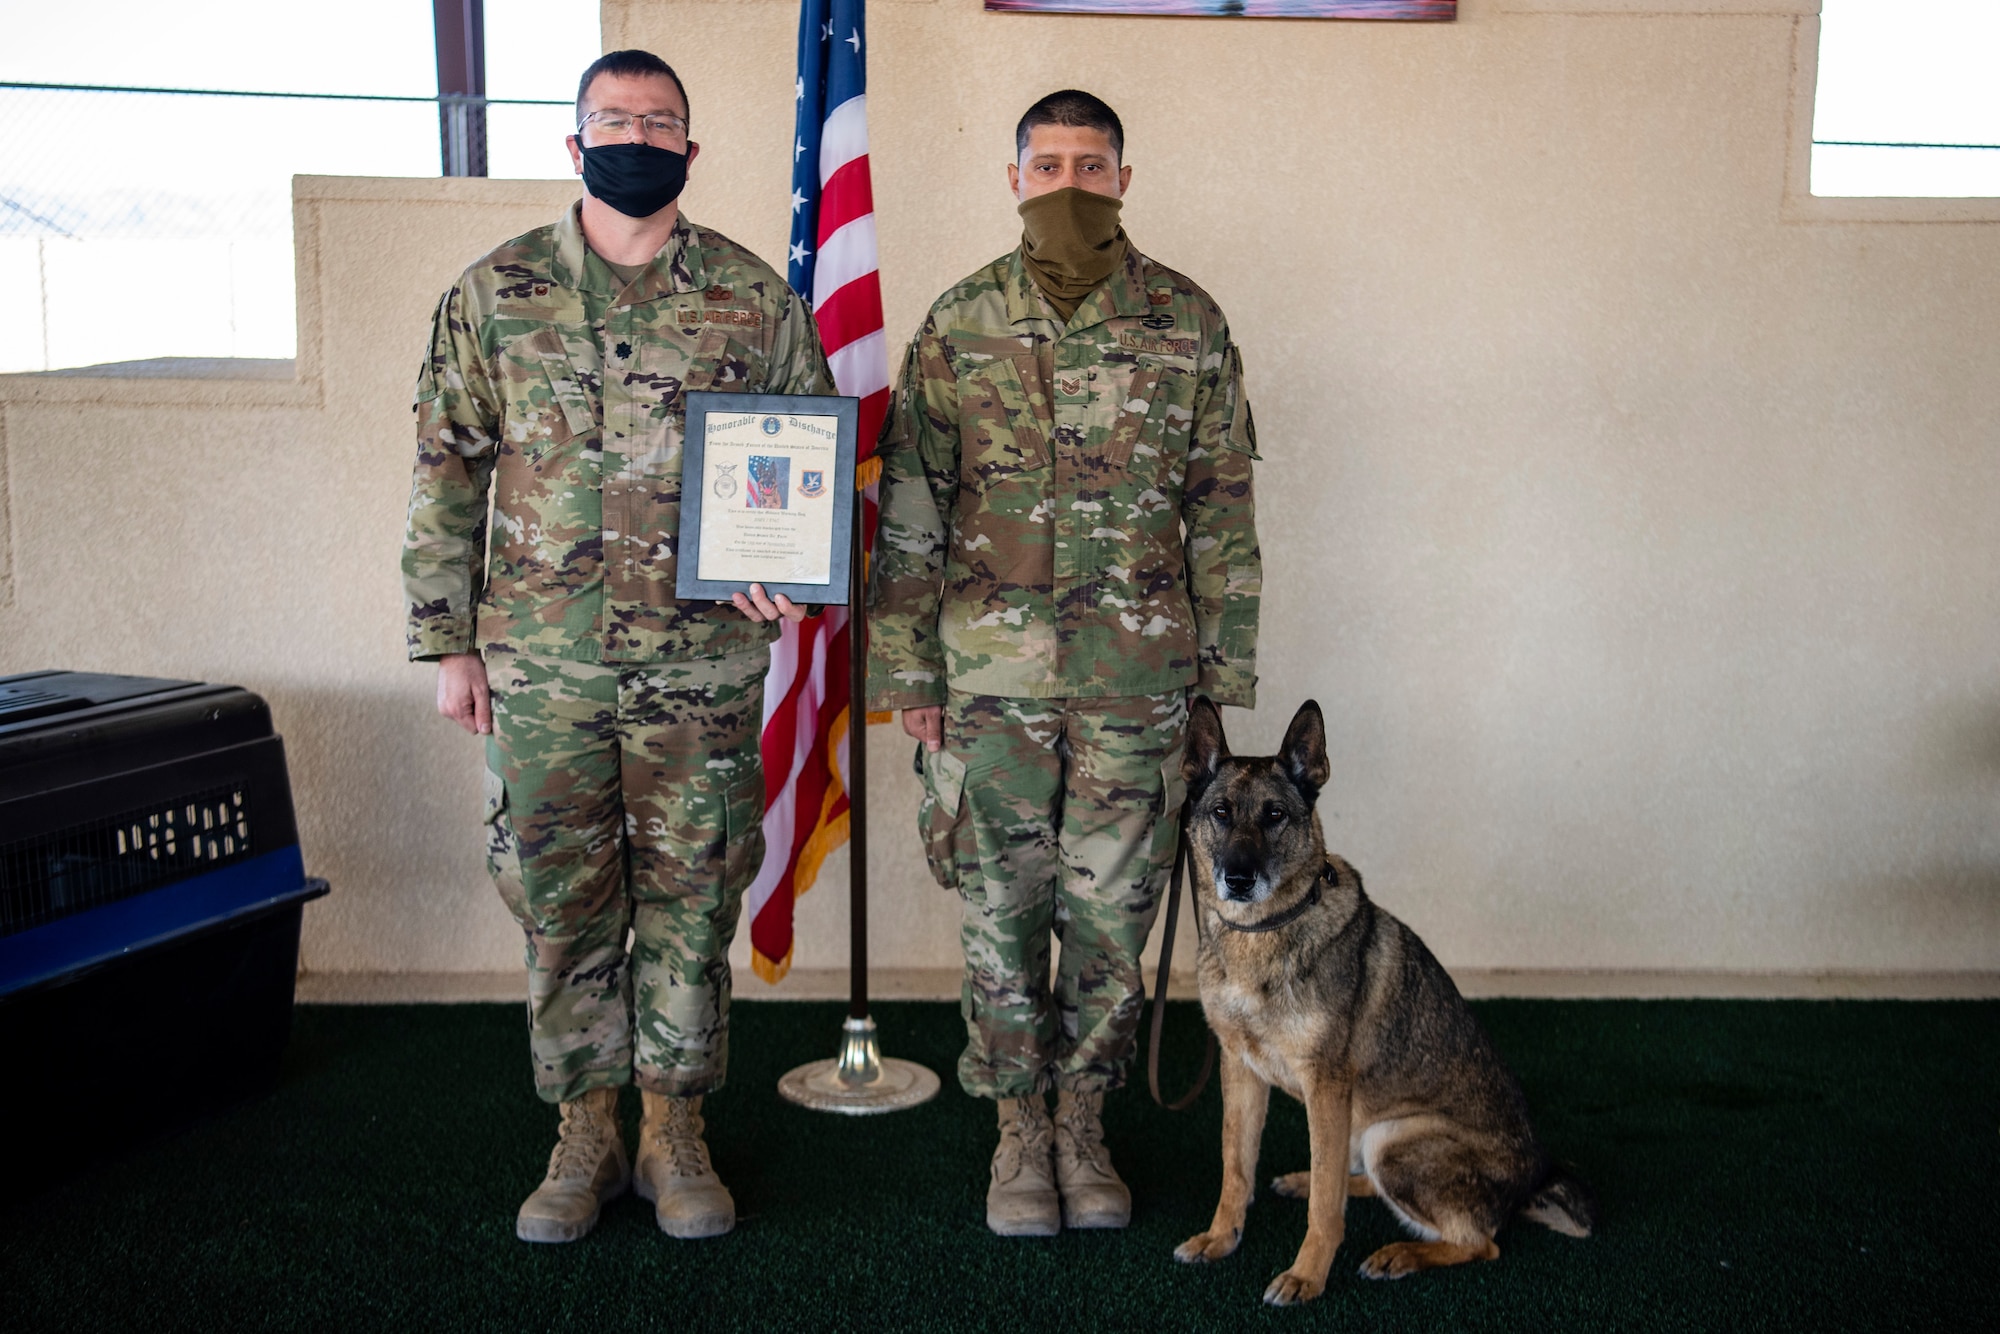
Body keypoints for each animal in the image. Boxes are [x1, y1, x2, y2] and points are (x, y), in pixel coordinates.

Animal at [1168, 704, 1592, 1312]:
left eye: (1275, 815)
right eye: (1221, 813)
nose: (1239, 879)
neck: (1264, 933)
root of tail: (1534, 1177)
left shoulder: (1325, 1084)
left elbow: (1324, 1211)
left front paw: (1307, 1276)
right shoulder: (1241, 1070)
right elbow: (1236, 1170)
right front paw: (1221, 1238)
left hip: (1392, 1139)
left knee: (1480, 1242)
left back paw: (1400, 1254)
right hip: (1367, 1131)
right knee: (1350, 1175)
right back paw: (1309, 1181)